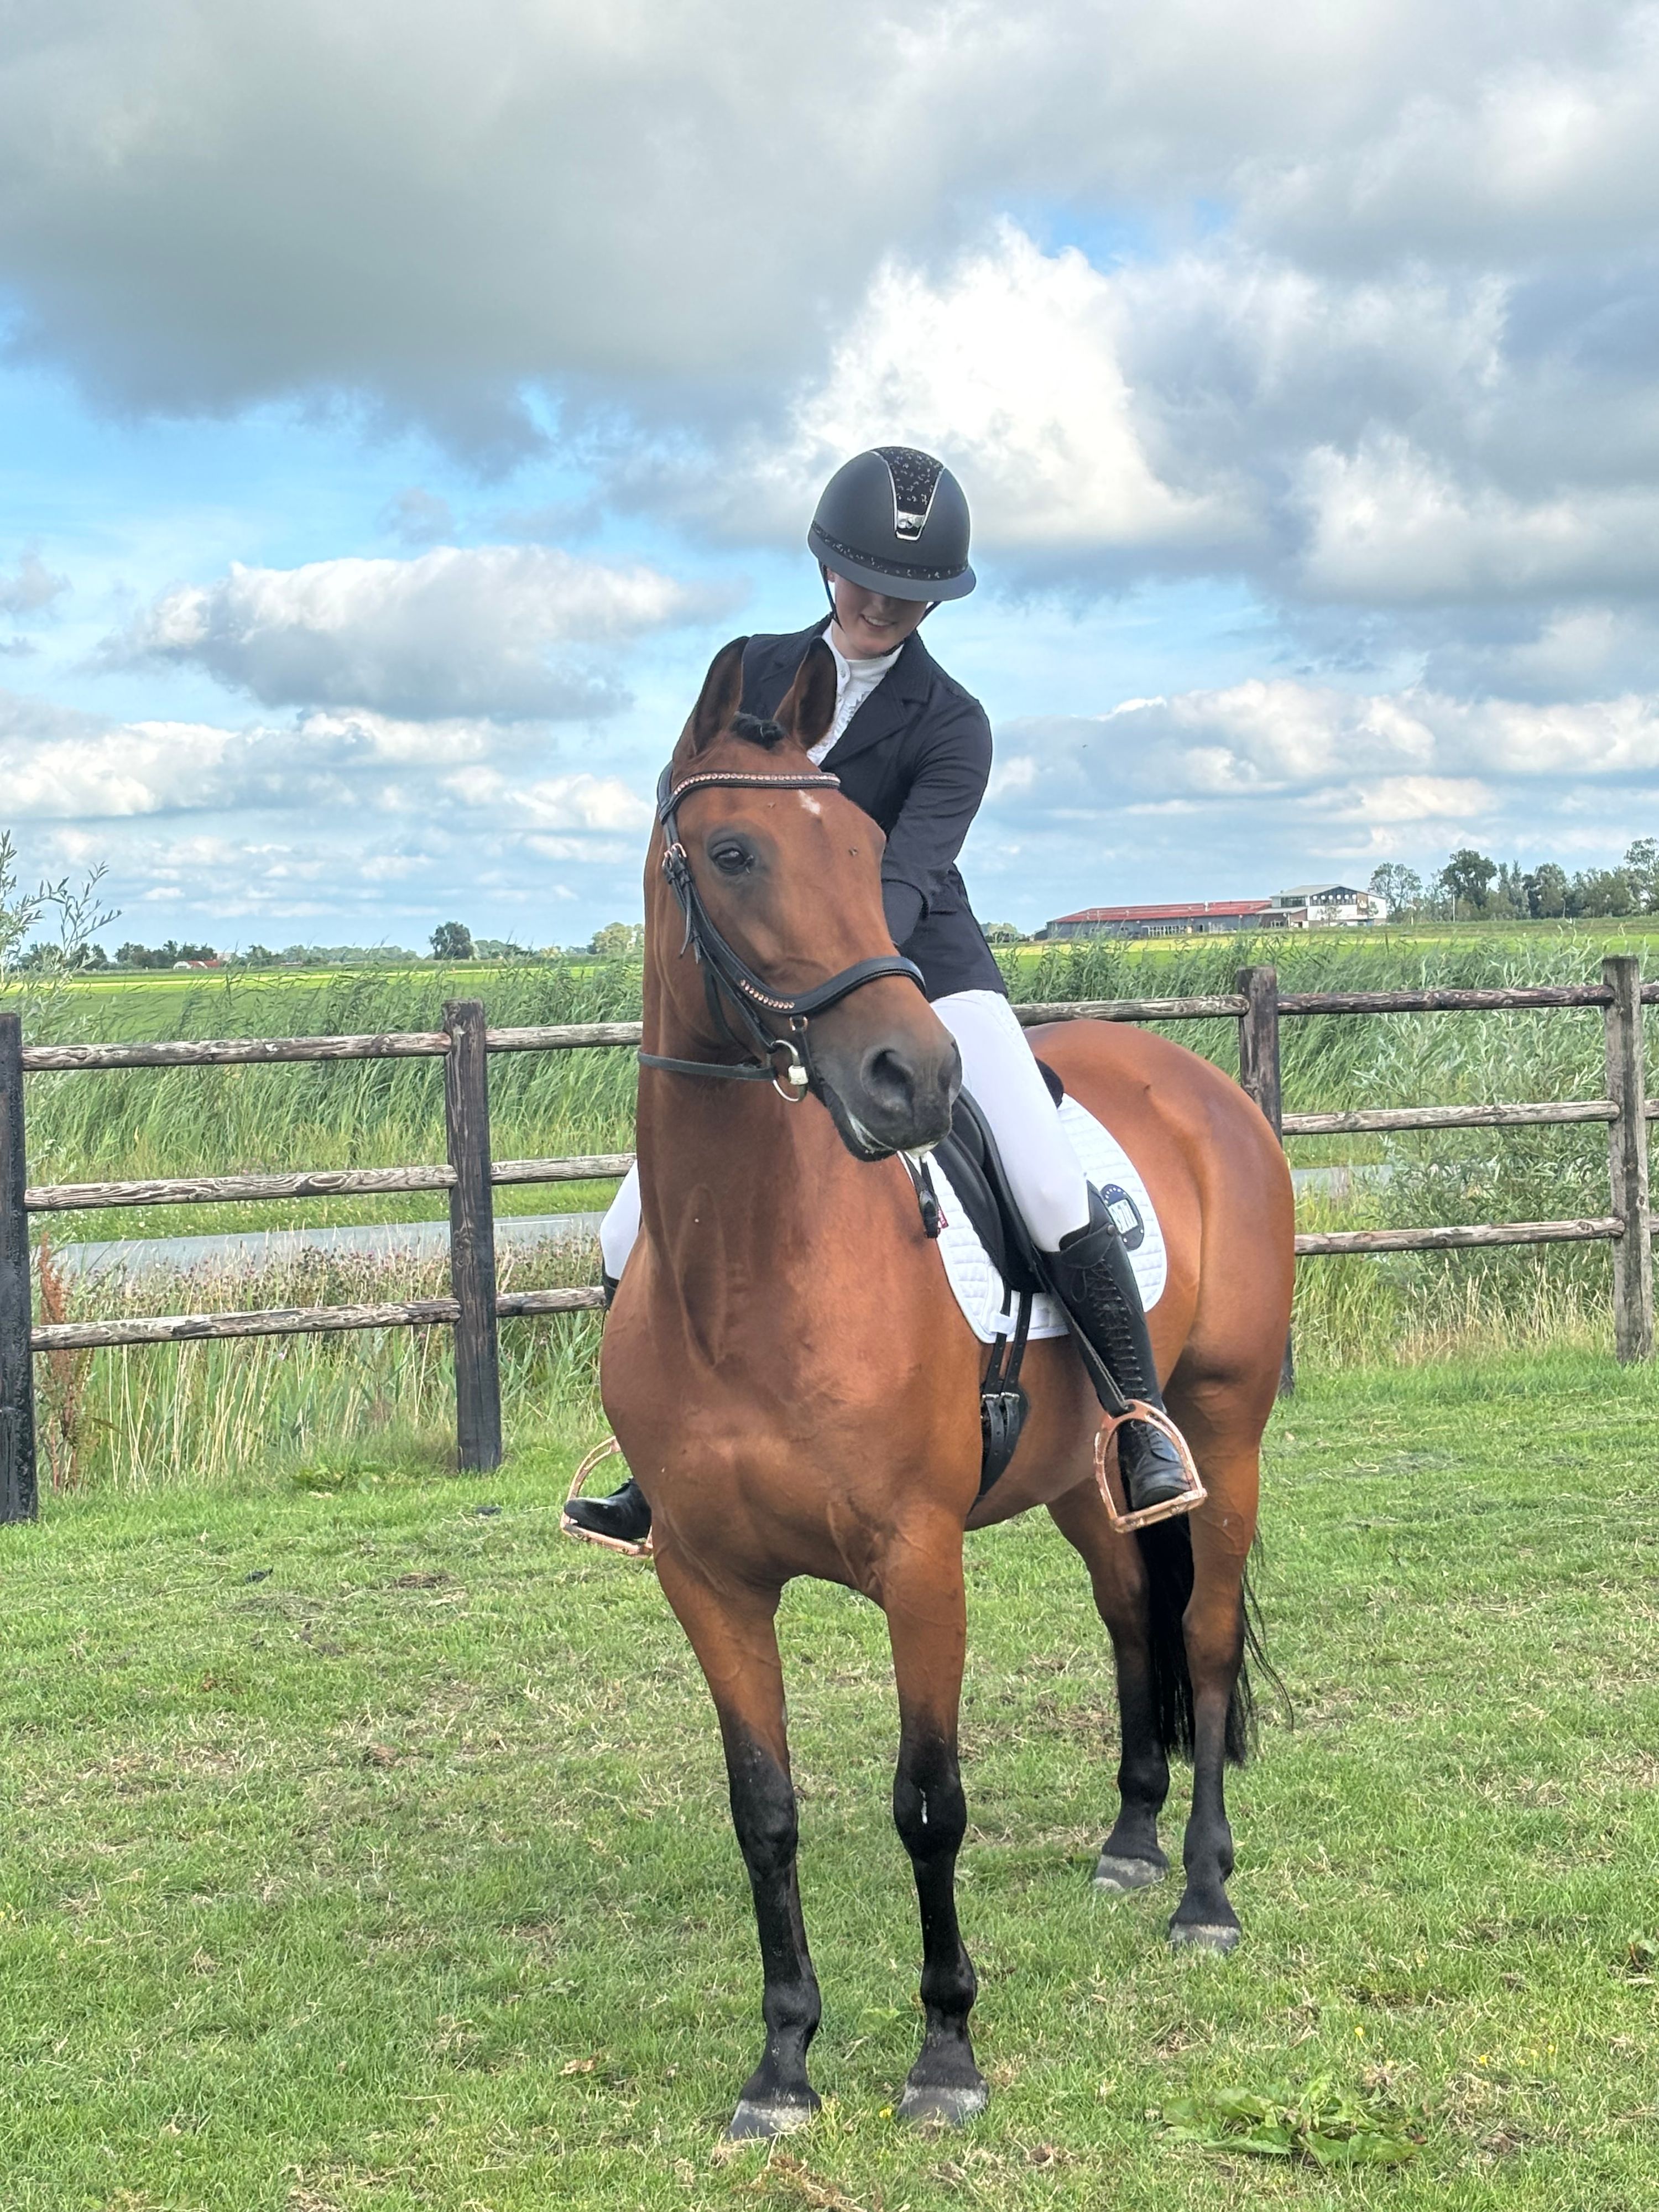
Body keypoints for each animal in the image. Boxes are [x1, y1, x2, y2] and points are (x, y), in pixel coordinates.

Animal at [597, 636, 1295, 2138]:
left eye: (872, 849)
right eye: (733, 851)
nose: (910, 1077)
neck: (751, 1264)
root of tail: (1203, 1083)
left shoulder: (919, 1563)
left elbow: (928, 1802)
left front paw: (943, 2053)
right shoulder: (706, 1577)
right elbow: (765, 1811)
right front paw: (783, 2065)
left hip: (1225, 1429)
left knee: (1204, 1637)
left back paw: (1204, 1893)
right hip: (1087, 1471)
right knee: (1131, 1619)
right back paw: (1130, 1840)